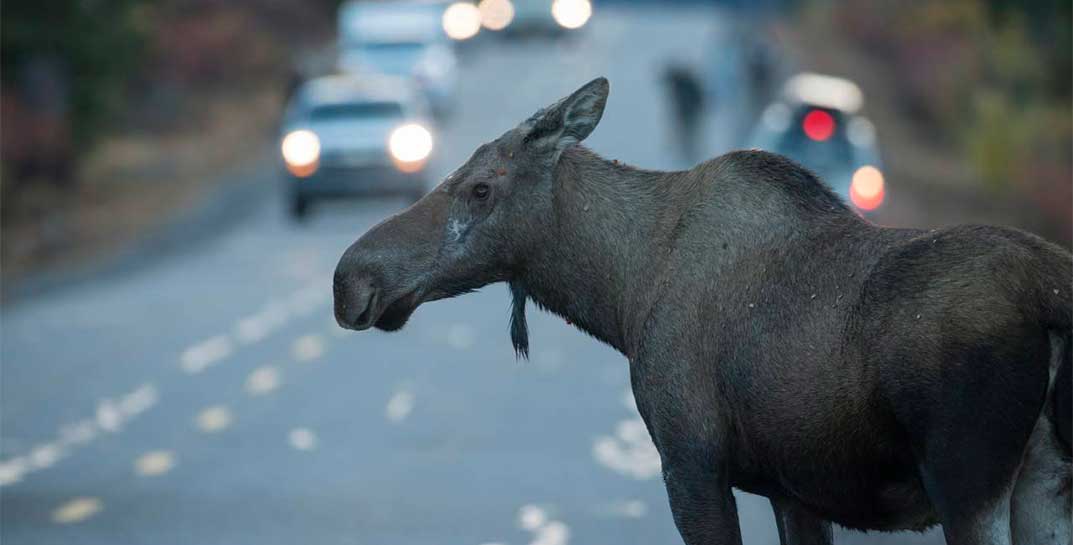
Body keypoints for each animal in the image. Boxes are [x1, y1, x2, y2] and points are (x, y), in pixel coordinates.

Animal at [330, 77, 1068, 545]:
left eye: (480, 188)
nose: (350, 279)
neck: (621, 293)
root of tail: (1052, 297)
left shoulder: (690, 460)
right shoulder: (792, 489)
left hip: (967, 479)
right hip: (1045, 486)